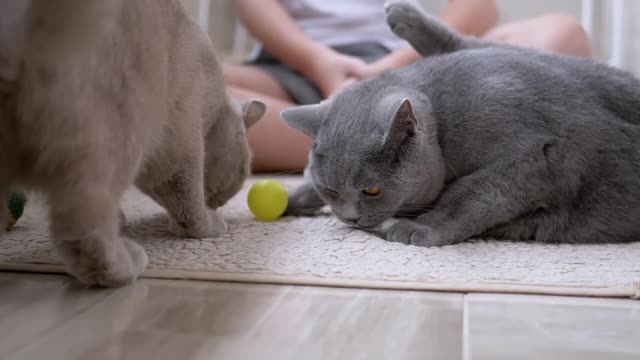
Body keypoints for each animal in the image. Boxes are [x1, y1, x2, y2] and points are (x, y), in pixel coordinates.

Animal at [0, 0, 264, 286]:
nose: (216, 204)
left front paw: (120, 221)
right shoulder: (181, 140)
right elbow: (189, 203)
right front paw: (208, 224)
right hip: (117, 133)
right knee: (83, 227)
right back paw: (125, 264)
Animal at [282, 0, 640, 248]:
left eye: (372, 190)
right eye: (330, 190)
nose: (350, 218)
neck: (444, 120)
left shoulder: (537, 154)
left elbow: (469, 193)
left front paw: (420, 228)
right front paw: (298, 195)